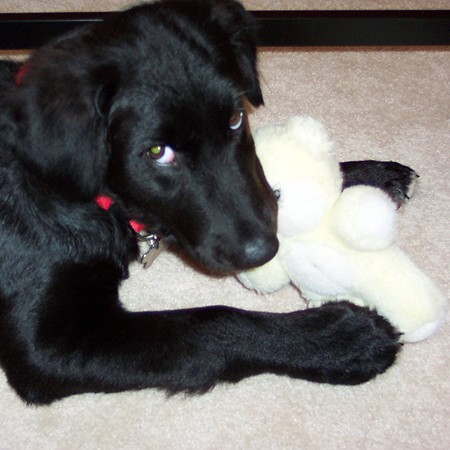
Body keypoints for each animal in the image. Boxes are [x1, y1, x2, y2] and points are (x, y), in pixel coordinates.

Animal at [0, 0, 414, 404]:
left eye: (235, 118)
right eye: (157, 152)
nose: (264, 250)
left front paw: (367, 174)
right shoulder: (48, 344)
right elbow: (209, 323)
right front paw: (335, 338)